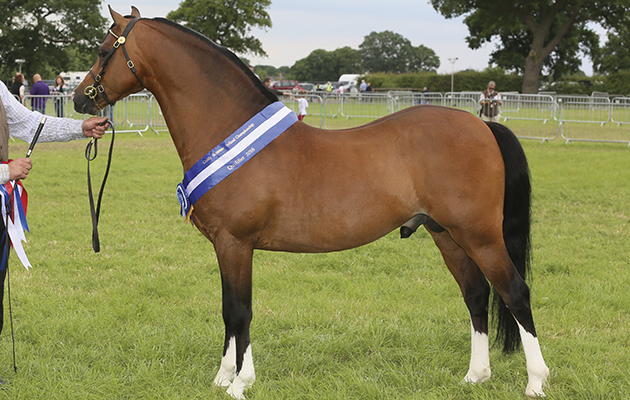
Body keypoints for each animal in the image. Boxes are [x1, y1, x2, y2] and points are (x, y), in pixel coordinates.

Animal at [73, 7, 548, 398]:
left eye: (102, 50)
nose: (79, 98)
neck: (227, 131)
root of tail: (482, 126)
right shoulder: (225, 247)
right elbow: (228, 312)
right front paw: (224, 377)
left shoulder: (235, 243)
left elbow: (239, 311)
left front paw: (240, 383)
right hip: (447, 234)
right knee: (476, 295)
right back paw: (475, 377)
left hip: (479, 235)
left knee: (515, 292)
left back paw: (536, 382)